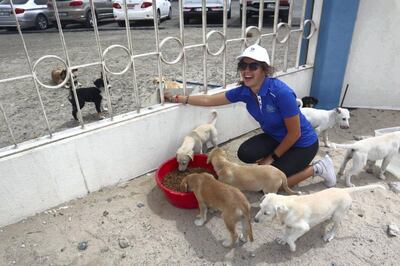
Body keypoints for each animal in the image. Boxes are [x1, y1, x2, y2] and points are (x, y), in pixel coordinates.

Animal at [255, 184, 386, 252]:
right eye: (259, 207)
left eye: (266, 213)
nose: (255, 220)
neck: (288, 206)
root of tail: (343, 190)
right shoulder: (288, 224)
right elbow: (287, 233)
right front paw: (282, 239)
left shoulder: (303, 227)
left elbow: (291, 238)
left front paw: (292, 247)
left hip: (338, 215)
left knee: (337, 226)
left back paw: (329, 235)